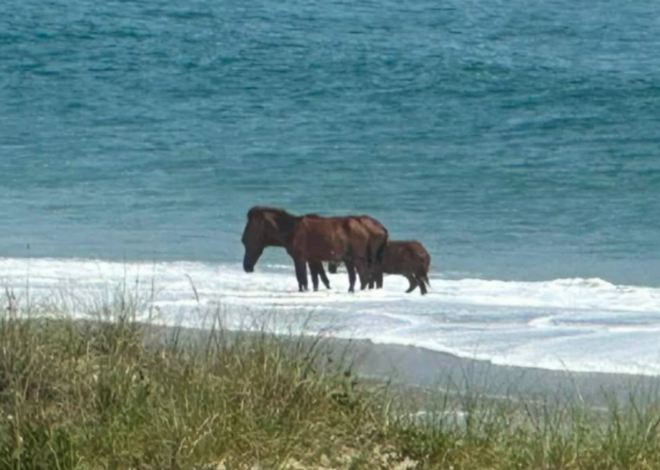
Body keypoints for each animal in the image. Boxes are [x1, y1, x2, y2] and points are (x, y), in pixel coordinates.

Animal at [241, 206, 374, 292]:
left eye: (246, 241)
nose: (246, 267)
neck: (291, 230)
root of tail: (362, 226)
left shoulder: (300, 258)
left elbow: (303, 278)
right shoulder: (311, 259)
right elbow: (314, 280)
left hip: (357, 258)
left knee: (364, 277)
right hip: (348, 259)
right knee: (354, 277)